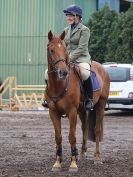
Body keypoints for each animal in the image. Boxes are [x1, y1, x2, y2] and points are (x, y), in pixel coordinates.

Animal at [44, 30, 110, 171]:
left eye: (64, 49)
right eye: (51, 50)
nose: (63, 72)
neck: (59, 84)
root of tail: (102, 67)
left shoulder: (72, 112)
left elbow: (72, 136)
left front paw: (73, 164)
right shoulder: (53, 112)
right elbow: (58, 137)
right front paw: (57, 163)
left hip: (100, 105)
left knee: (97, 130)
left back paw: (97, 157)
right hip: (82, 109)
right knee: (84, 127)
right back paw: (83, 153)